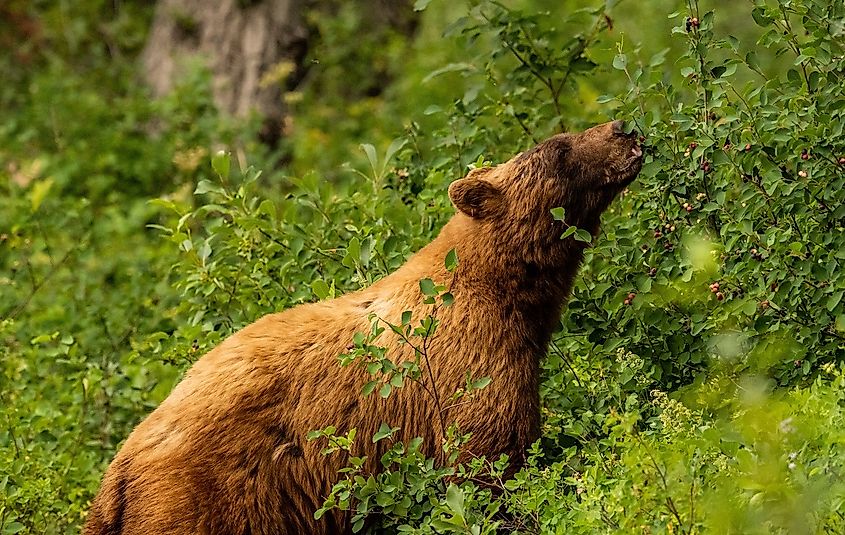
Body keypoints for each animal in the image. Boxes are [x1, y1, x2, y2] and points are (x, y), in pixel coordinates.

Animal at [84, 120, 642, 535]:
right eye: (559, 148)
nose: (624, 128)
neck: (507, 296)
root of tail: (119, 470)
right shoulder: (469, 375)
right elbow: (488, 469)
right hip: (207, 497)